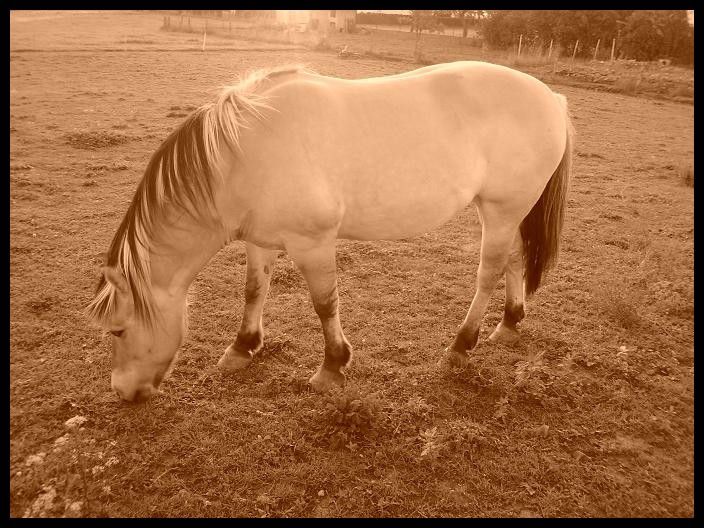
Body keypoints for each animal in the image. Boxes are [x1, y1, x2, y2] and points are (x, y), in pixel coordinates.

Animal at [86, 61, 574, 402]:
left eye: (118, 331)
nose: (122, 392)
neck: (243, 152)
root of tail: (552, 97)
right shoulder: (262, 240)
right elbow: (254, 291)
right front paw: (242, 348)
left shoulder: (312, 243)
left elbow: (324, 304)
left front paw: (332, 368)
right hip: (510, 213)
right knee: (514, 259)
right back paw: (509, 324)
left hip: (501, 211)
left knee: (489, 272)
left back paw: (461, 344)